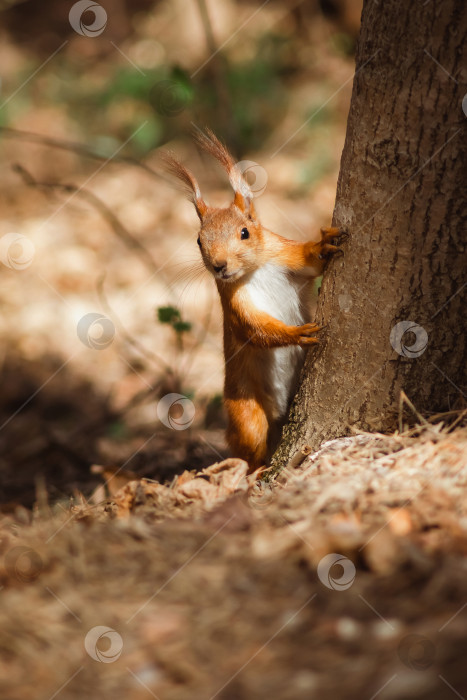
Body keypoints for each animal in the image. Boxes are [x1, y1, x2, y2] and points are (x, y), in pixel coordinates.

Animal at [163, 130, 346, 470]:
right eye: (199, 241)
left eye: (245, 232)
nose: (219, 266)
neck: (255, 271)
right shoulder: (234, 304)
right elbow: (255, 330)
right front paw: (297, 333)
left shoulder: (285, 254)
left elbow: (311, 262)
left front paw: (324, 244)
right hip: (247, 415)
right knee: (250, 450)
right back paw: (256, 471)